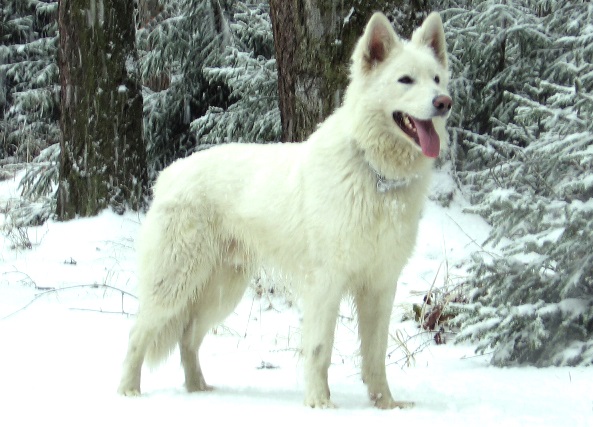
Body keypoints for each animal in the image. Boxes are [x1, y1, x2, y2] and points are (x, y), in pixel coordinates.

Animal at [121, 11, 454, 410]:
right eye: (406, 80)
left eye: (436, 79)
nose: (444, 102)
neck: (375, 173)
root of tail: (168, 174)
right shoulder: (325, 284)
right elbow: (319, 348)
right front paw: (319, 403)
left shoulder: (380, 286)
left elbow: (375, 355)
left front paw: (385, 405)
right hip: (174, 286)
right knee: (137, 335)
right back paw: (129, 392)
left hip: (222, 292)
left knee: (188, 338)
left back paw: (198, 389)